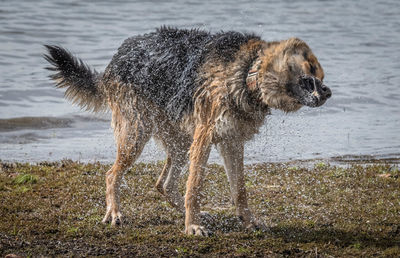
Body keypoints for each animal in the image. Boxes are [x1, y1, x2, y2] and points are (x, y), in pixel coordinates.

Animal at [43, 26, 332, 236]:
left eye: (322, 77)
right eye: (310, 74)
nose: (329, 93)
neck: (246, 73)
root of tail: (115, 59)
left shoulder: (231, 142)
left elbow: (239, 189)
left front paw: (248, 221)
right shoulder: (205, 138)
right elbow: (194, 187)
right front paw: (192, 226)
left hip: (181, 143)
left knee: (163, 184)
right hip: (137, 134)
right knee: (112, 174)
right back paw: (114, 212)